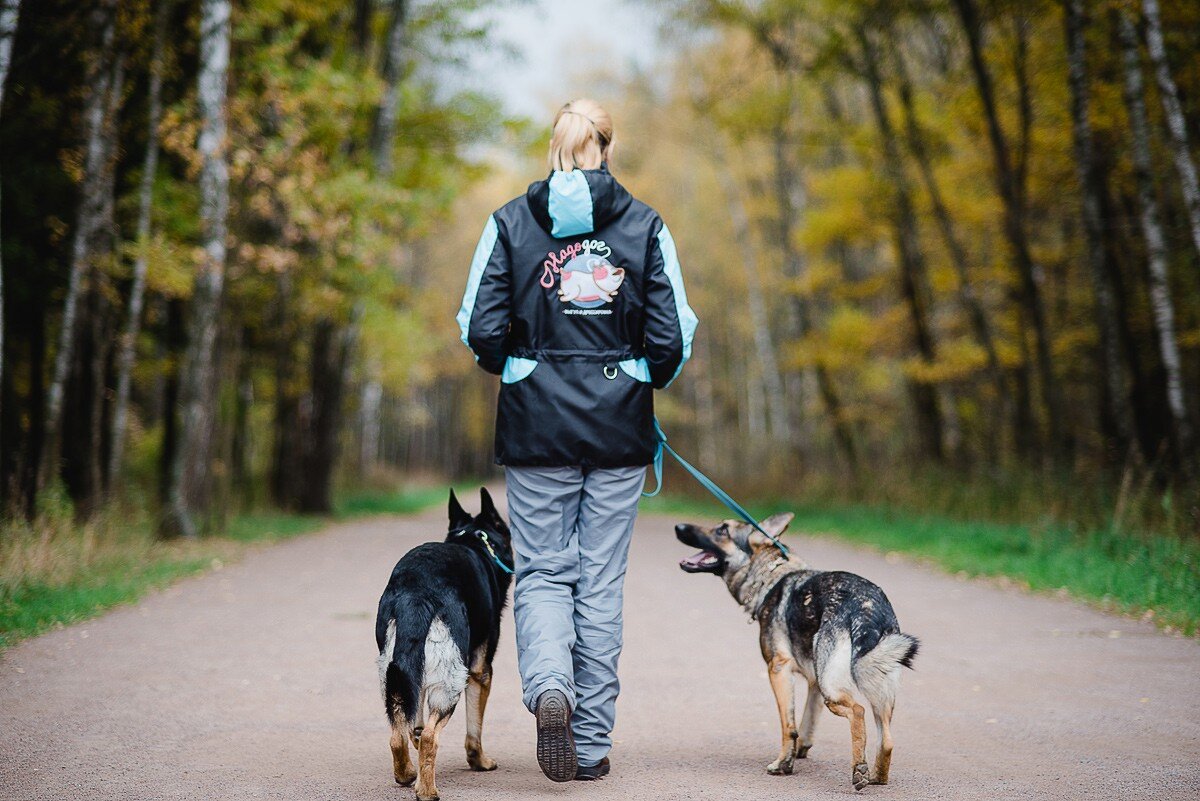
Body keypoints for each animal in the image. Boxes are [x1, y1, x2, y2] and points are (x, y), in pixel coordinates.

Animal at [372, 489, 508, 801]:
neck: (472, 539)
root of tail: (415, 592)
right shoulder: (480, 671)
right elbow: (474, 730)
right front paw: (480, 762)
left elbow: (415, 726)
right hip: (450, 683)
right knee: (431, 737)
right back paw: (427, 791)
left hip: (393, 675)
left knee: (398, 736)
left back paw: (408, 775)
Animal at [676, 515, 916, 791]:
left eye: (722, 530)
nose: (678, 527)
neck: (770, 575)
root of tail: (869, 609)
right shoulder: (813, 683)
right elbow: (805, 722)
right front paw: (799, 751)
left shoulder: (778, 669)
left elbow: (788, 726)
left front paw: (783, 764)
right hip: (873, 690)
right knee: (886, 740)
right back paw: (877, 776)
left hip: (833, 689)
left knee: (857, 711)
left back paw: (859, 770)